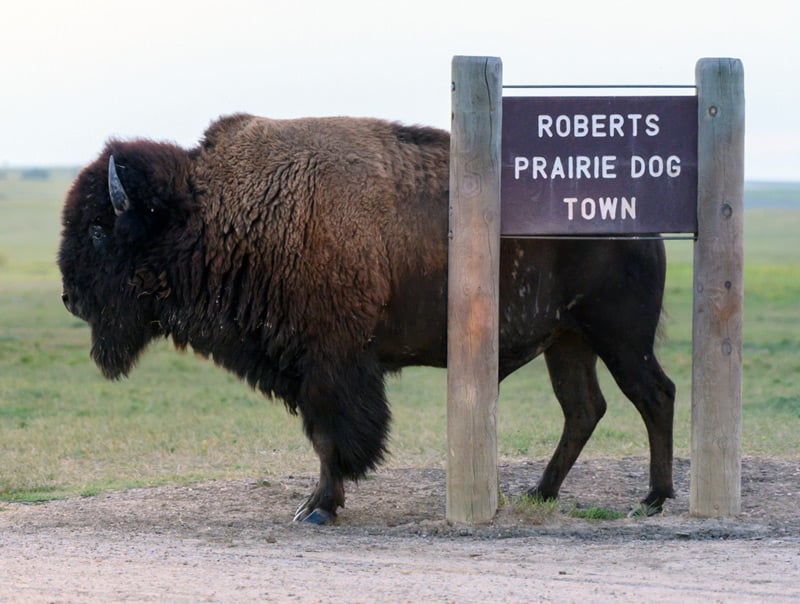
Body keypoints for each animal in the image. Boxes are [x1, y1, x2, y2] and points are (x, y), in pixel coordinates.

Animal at [57, 114, 676, 524]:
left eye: (98, 229)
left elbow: (331, 437)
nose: (69, 298)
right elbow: (325, 436)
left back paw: (653, 499)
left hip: (620, 337)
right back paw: (541, 493)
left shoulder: (331, 366)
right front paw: (317, 505)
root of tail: (638, 221)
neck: (220, 209)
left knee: (654, 395)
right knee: (584, 409)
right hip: (568, 341)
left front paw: (317, 509)